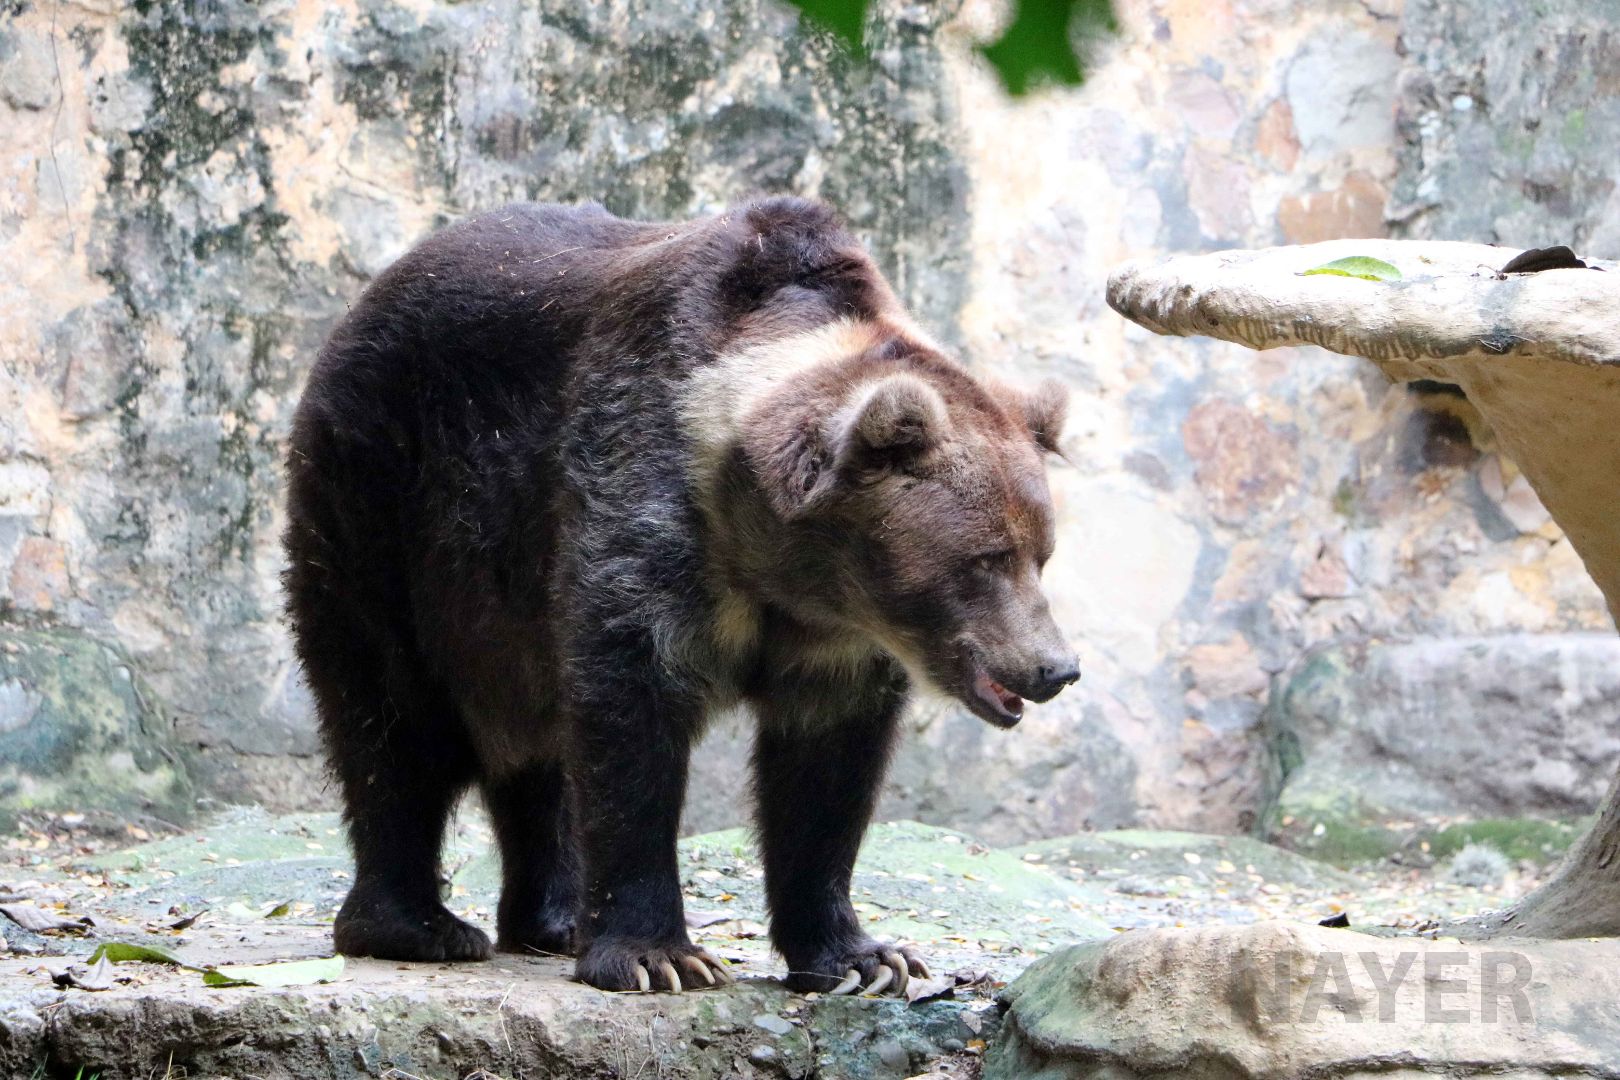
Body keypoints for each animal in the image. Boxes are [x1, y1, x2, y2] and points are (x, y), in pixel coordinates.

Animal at [283, 196, 1079, 994]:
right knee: (392, 718)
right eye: (985, 559)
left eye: (1041, 554)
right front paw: (659, 955)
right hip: (388, 507)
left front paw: (864, 957)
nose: (1055, 667)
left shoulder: (835, 637)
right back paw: (418, 925)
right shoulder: (644, 499)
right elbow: (631, 716)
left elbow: (825, 774)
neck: (777, 555)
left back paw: (554, 919)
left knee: (538, 749)